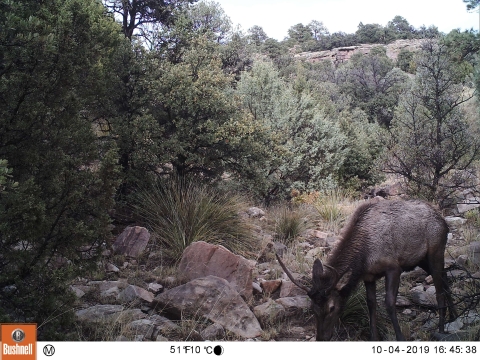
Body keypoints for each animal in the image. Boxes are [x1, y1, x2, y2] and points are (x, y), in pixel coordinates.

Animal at [276, 200, 456, 340]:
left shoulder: (393, 267)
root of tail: (444, 222)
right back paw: (452, 317)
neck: (364, 257)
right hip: (422, 259)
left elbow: (389, 303)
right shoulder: (369, 276)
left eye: (332, 308)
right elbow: (371, 304)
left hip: (435, 251)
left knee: (439, 289)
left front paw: (400, 337)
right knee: (445, 277)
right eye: (313, 308)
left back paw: (441, 330)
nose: (321, 338)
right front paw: (373, 337)